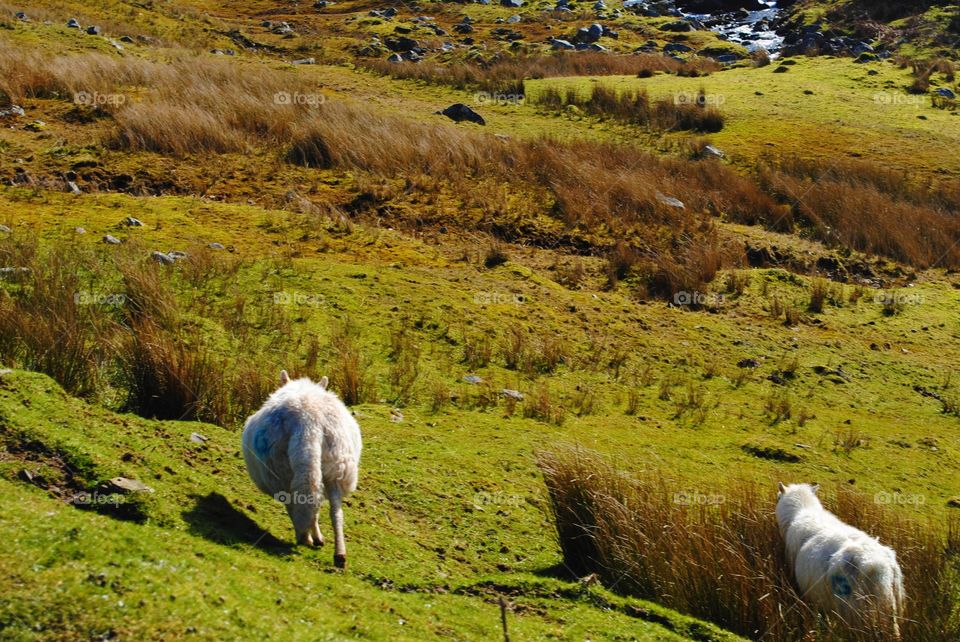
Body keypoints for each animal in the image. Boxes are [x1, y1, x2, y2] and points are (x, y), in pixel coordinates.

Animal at [242, 370, 362, 568]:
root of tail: (308, 420)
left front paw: (309, 537)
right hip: (336, 465)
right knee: (332, 510)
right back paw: (339, 554)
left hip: (281, 470)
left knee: (297, 502)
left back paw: (304, 537)